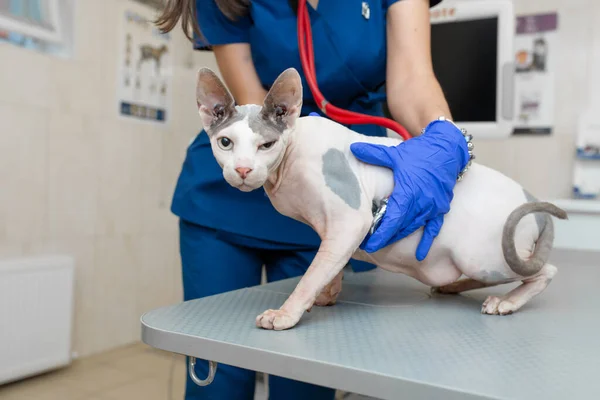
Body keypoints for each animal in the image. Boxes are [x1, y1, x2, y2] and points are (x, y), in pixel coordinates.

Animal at [196, 68, 568, 332]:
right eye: (226, 143)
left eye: (266, 145)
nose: (243, 169)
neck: (287, 165)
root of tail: (531, 198)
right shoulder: (334, 230)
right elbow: (330, 264)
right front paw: (327, 294)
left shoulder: (350, 220)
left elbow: (313, 272)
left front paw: (288, 312)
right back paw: (454, 286)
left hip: (482, 254)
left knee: (544, 270)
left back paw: (507, 302)